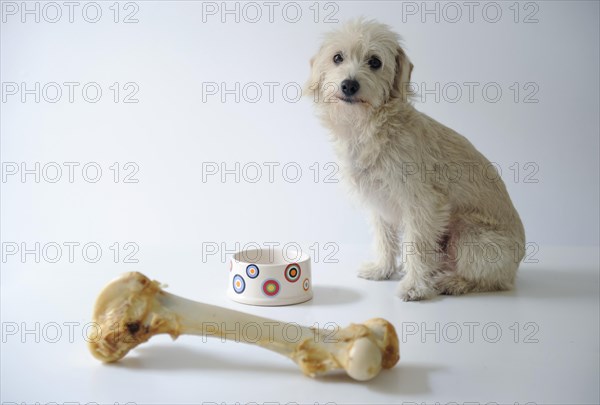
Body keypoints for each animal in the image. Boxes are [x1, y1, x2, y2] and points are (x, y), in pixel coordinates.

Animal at [304, 20, 524, 302]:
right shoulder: (379, 203)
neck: (370, 127)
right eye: (337, 58)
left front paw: (415, 287)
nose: (349, 85)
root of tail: (517, 262)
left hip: (468, 234)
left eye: (375, 62)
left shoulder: (423, 203)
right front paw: (382, 270)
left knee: (492, 281)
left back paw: (453, 282)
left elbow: (417, 246)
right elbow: (385, 239)